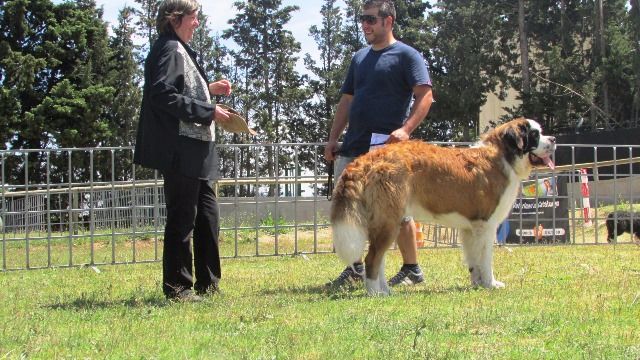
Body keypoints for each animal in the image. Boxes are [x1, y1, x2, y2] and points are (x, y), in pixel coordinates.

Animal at [330, 118, 556, 296]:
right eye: (535, 134)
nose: (553, 140)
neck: (503, 155)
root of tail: (367, 159)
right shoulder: (486, 225)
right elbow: (485, 258)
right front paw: (491, 284)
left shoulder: (470, 228)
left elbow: (473, 259)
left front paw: (477, 283)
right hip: (388, 221)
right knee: (372, 258)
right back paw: (375, 293)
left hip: (385, 222)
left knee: (378, 257)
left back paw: (384, 290)